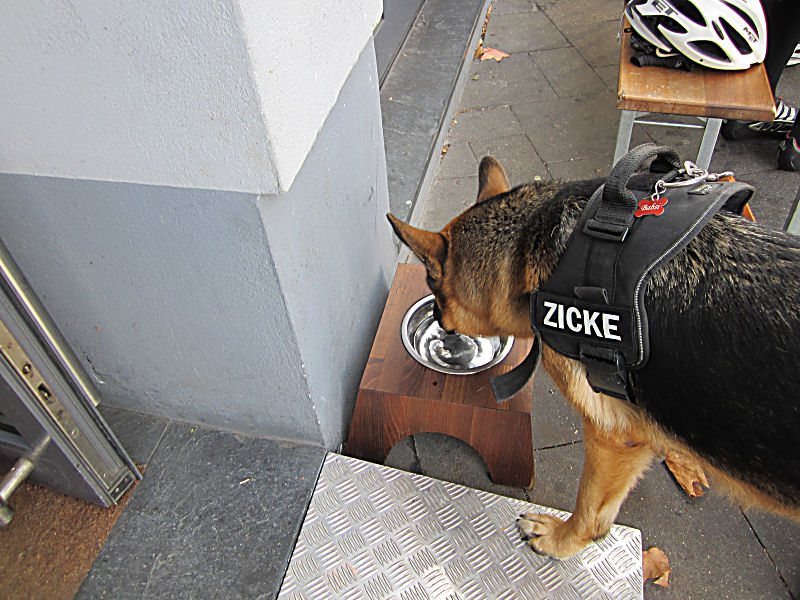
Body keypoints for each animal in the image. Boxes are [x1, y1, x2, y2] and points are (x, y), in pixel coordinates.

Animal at [390, 155, 800, 556]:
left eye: (434, 288)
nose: (439, 321)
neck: (528, 241)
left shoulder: (614, 435)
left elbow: (590, 509)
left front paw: (559, 541)